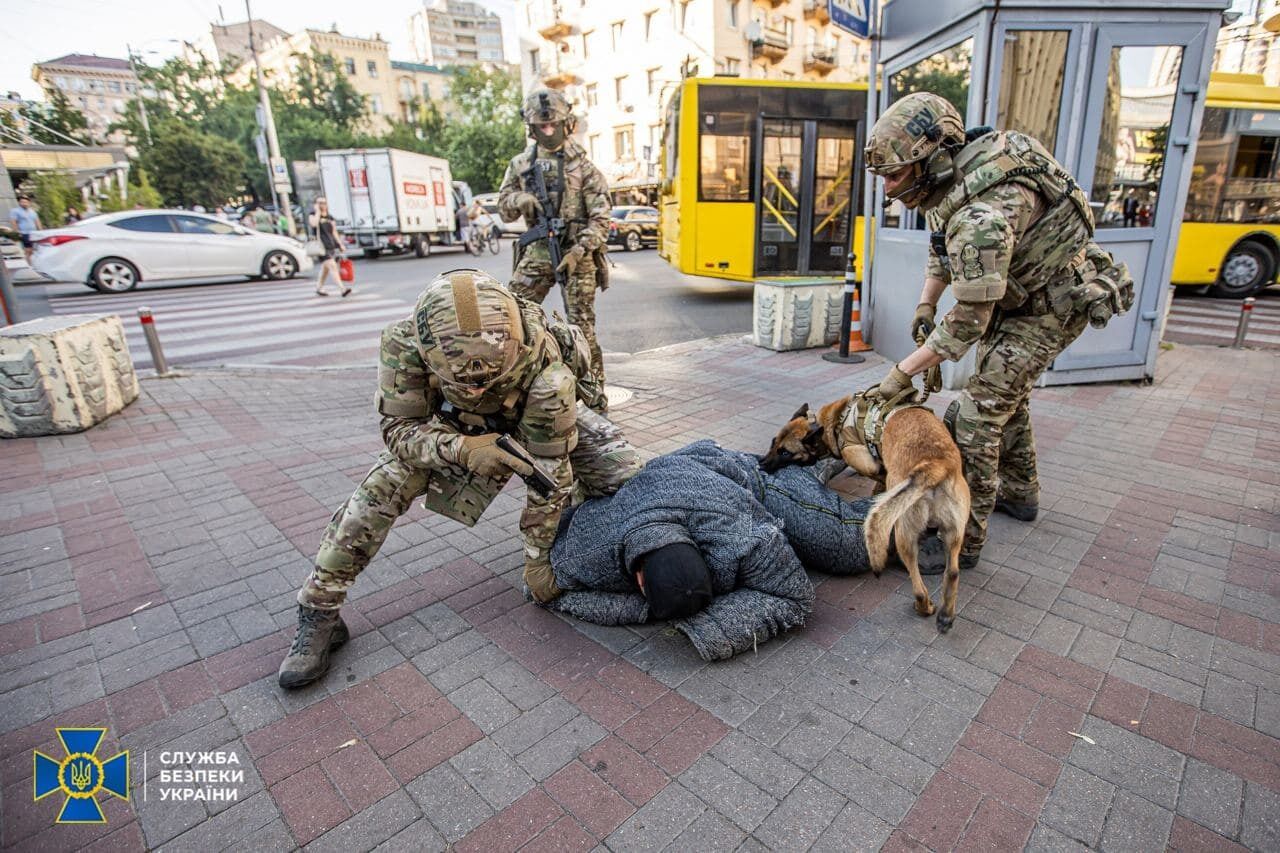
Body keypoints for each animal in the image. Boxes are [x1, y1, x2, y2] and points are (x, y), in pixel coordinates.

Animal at [757, 394, 967, 627]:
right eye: (773, 443)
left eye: (786, 452)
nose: (760, 464)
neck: (832, 422)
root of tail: (933, 467)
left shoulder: (869, 465)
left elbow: (878, 479)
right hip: (953, 532)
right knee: (953, 572)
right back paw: (945, 615)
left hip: (904, 534)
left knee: (919, 584)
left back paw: (925, 607)